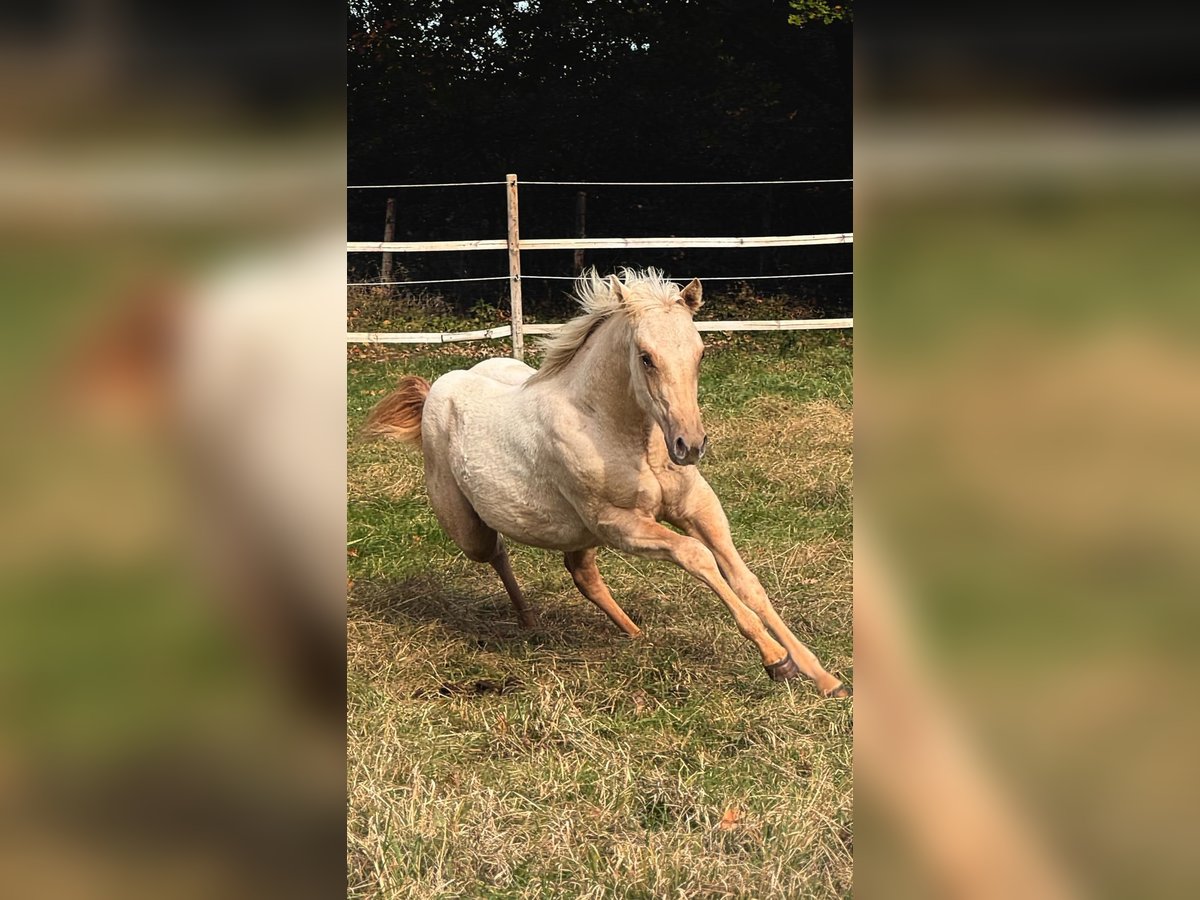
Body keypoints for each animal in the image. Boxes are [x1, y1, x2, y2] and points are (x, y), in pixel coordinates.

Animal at [363, 268, 848, 697]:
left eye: (700, 353)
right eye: (646, 357)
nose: (689, 445)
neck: (620, 431)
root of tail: (435, 390)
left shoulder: (696, 507)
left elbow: (746, 580)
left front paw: (824, 677)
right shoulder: (620, 524)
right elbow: (698, 557)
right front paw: (775, 660)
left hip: (579, 532)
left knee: (581, 573)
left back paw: (633, 632)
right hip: (475, 530)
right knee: (498, 553)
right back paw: (530, 622)